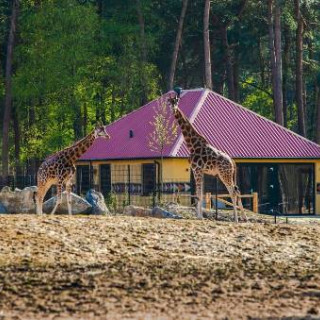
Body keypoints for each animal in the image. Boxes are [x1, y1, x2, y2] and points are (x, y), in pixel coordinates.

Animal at [168, 92, 248, 222]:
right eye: (169, 102)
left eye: (176, 101)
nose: (173, 109)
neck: (192, 144)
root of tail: (232, 162)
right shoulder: (198, 171)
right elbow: (198, 193)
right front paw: (199, 216)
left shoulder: (197, 170)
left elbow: (199, 194)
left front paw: (199, 217)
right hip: (228, 174)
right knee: (236, 189)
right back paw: (243, 218)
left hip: (224, 174)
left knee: (233, 191)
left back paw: (236, 219)